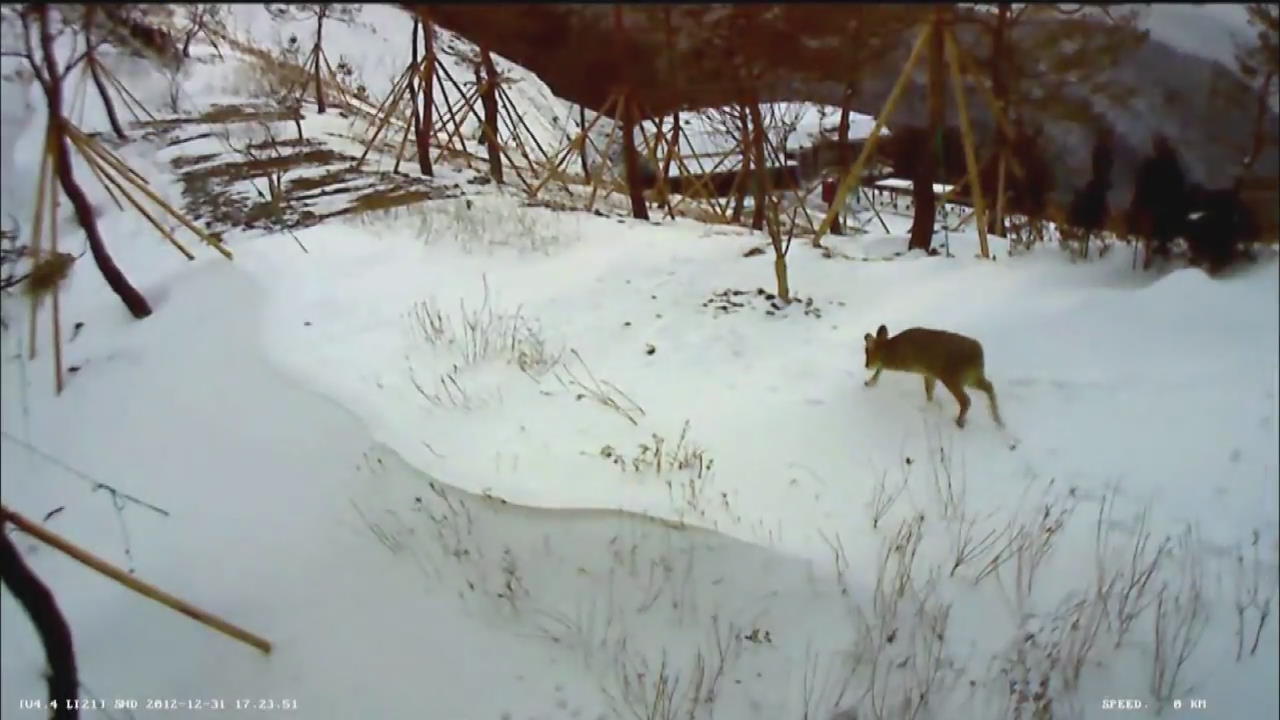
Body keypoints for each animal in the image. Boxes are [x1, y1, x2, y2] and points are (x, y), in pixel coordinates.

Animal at [865, 324, 1003, 427]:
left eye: (867, 352)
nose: (866, 365)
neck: (889, 348)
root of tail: (979, 353)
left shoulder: (903, 363)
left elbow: (881, 367)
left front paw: (869, 382)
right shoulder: (929, 373)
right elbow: (929, 391)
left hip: (952, 377)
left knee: (966, 400)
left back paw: (959, 422)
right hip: (972, 377)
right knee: (989, 387)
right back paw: (999, 421)